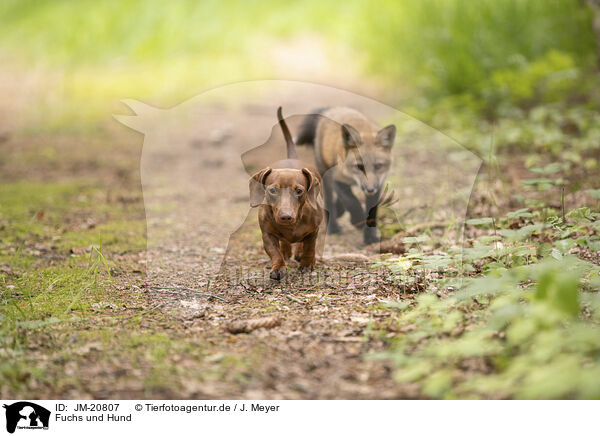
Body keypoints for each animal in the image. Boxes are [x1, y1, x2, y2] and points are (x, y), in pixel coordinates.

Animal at [294, 105, 396, 242]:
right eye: (358, 166)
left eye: (378, 166)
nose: (369, 189)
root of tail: (333, 108)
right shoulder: (337, 178)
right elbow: (351, 202)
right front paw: (357, 220)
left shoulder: (378, 184)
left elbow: (371, 210)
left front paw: (370, 236)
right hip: (324, 176)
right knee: (329, 202)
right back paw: (333, 227)